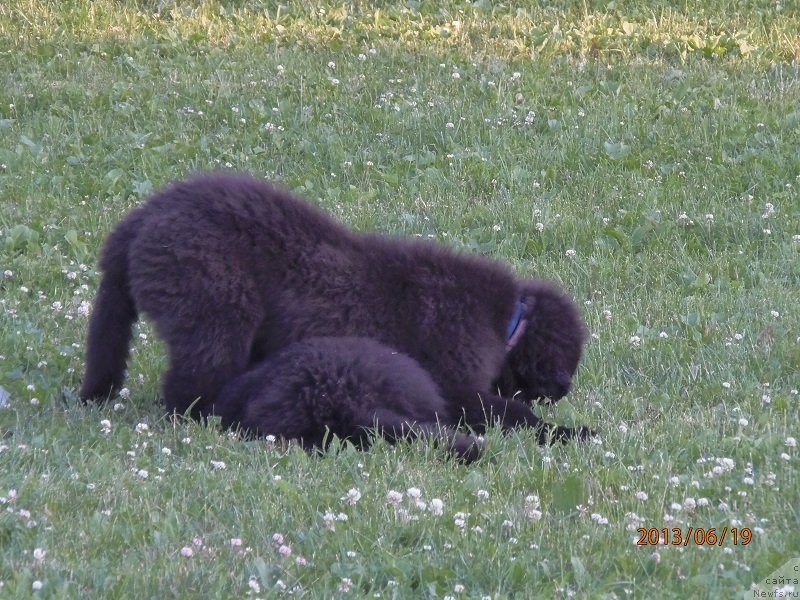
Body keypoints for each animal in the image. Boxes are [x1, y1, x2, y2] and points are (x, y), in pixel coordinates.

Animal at [81, 172, 592, 440]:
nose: (564, 389)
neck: (507, 321)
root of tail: (141, 219)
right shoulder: (457, 386)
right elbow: (511, 413)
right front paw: (570, 433)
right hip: (214, 308)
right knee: (189, 392)